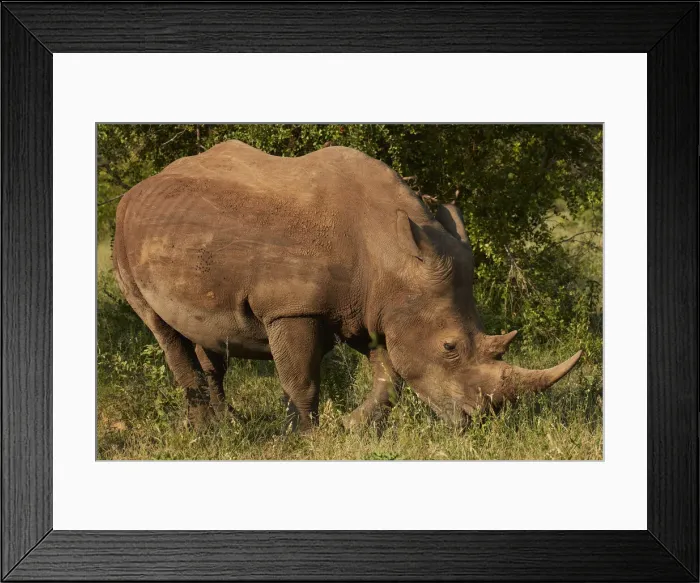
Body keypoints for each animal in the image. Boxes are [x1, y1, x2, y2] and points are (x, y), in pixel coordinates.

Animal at [112, 140, 582, 431]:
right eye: (449, 347)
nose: (479, 421)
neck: (393, 255)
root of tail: (137, 191)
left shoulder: (374, 308)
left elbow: (389, 378)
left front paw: (352, 427)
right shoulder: (291, 306)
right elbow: (302, 378)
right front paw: (304, 438)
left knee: (209, 338)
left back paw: (229, 425)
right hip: (122, 239)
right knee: (161, 327)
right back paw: (206, 432)